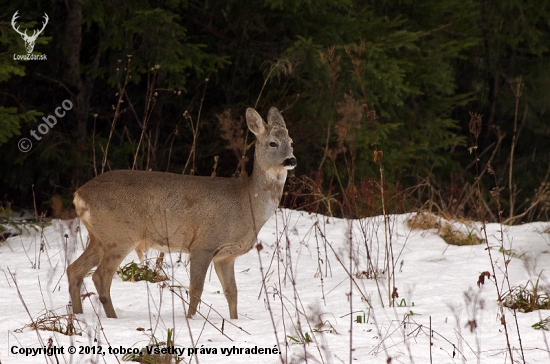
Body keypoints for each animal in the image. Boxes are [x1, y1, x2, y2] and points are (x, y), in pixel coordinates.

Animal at [68, 107, 298, 318]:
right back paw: (112, 318)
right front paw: (191, 320)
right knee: (99, 277)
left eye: (291, 142)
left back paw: (78, 315)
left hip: (100, 237)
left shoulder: (225, 256)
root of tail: (79, 195)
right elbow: (196, 290)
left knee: (74, 270)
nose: (291, 160)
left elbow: (231, 292)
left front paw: (235, 322)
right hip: (120, 235)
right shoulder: (203, 244)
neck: (247, 203)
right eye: (273, 143)